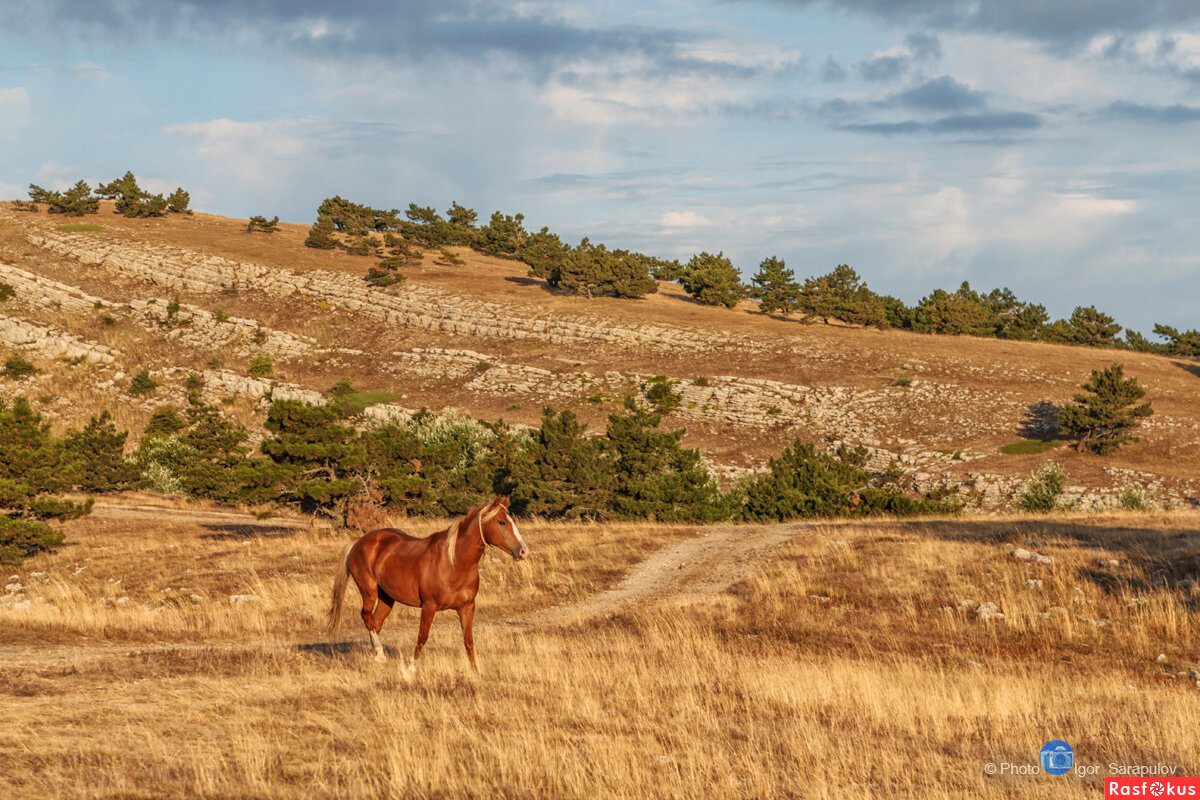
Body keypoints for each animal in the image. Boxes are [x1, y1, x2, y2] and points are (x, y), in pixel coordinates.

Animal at [328, 494, 535, 671]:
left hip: (387, 597)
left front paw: (475, 672)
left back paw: (378, 658)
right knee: (366, 616)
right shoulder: (429, 606)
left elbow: (468, 640)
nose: (523, 551)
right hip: (369, 591)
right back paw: (379, 654)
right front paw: (411, 669)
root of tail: (360, 541)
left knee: (375, 622)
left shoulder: (467, 607)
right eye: (501, 522)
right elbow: (422, 637)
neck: (453, 563)